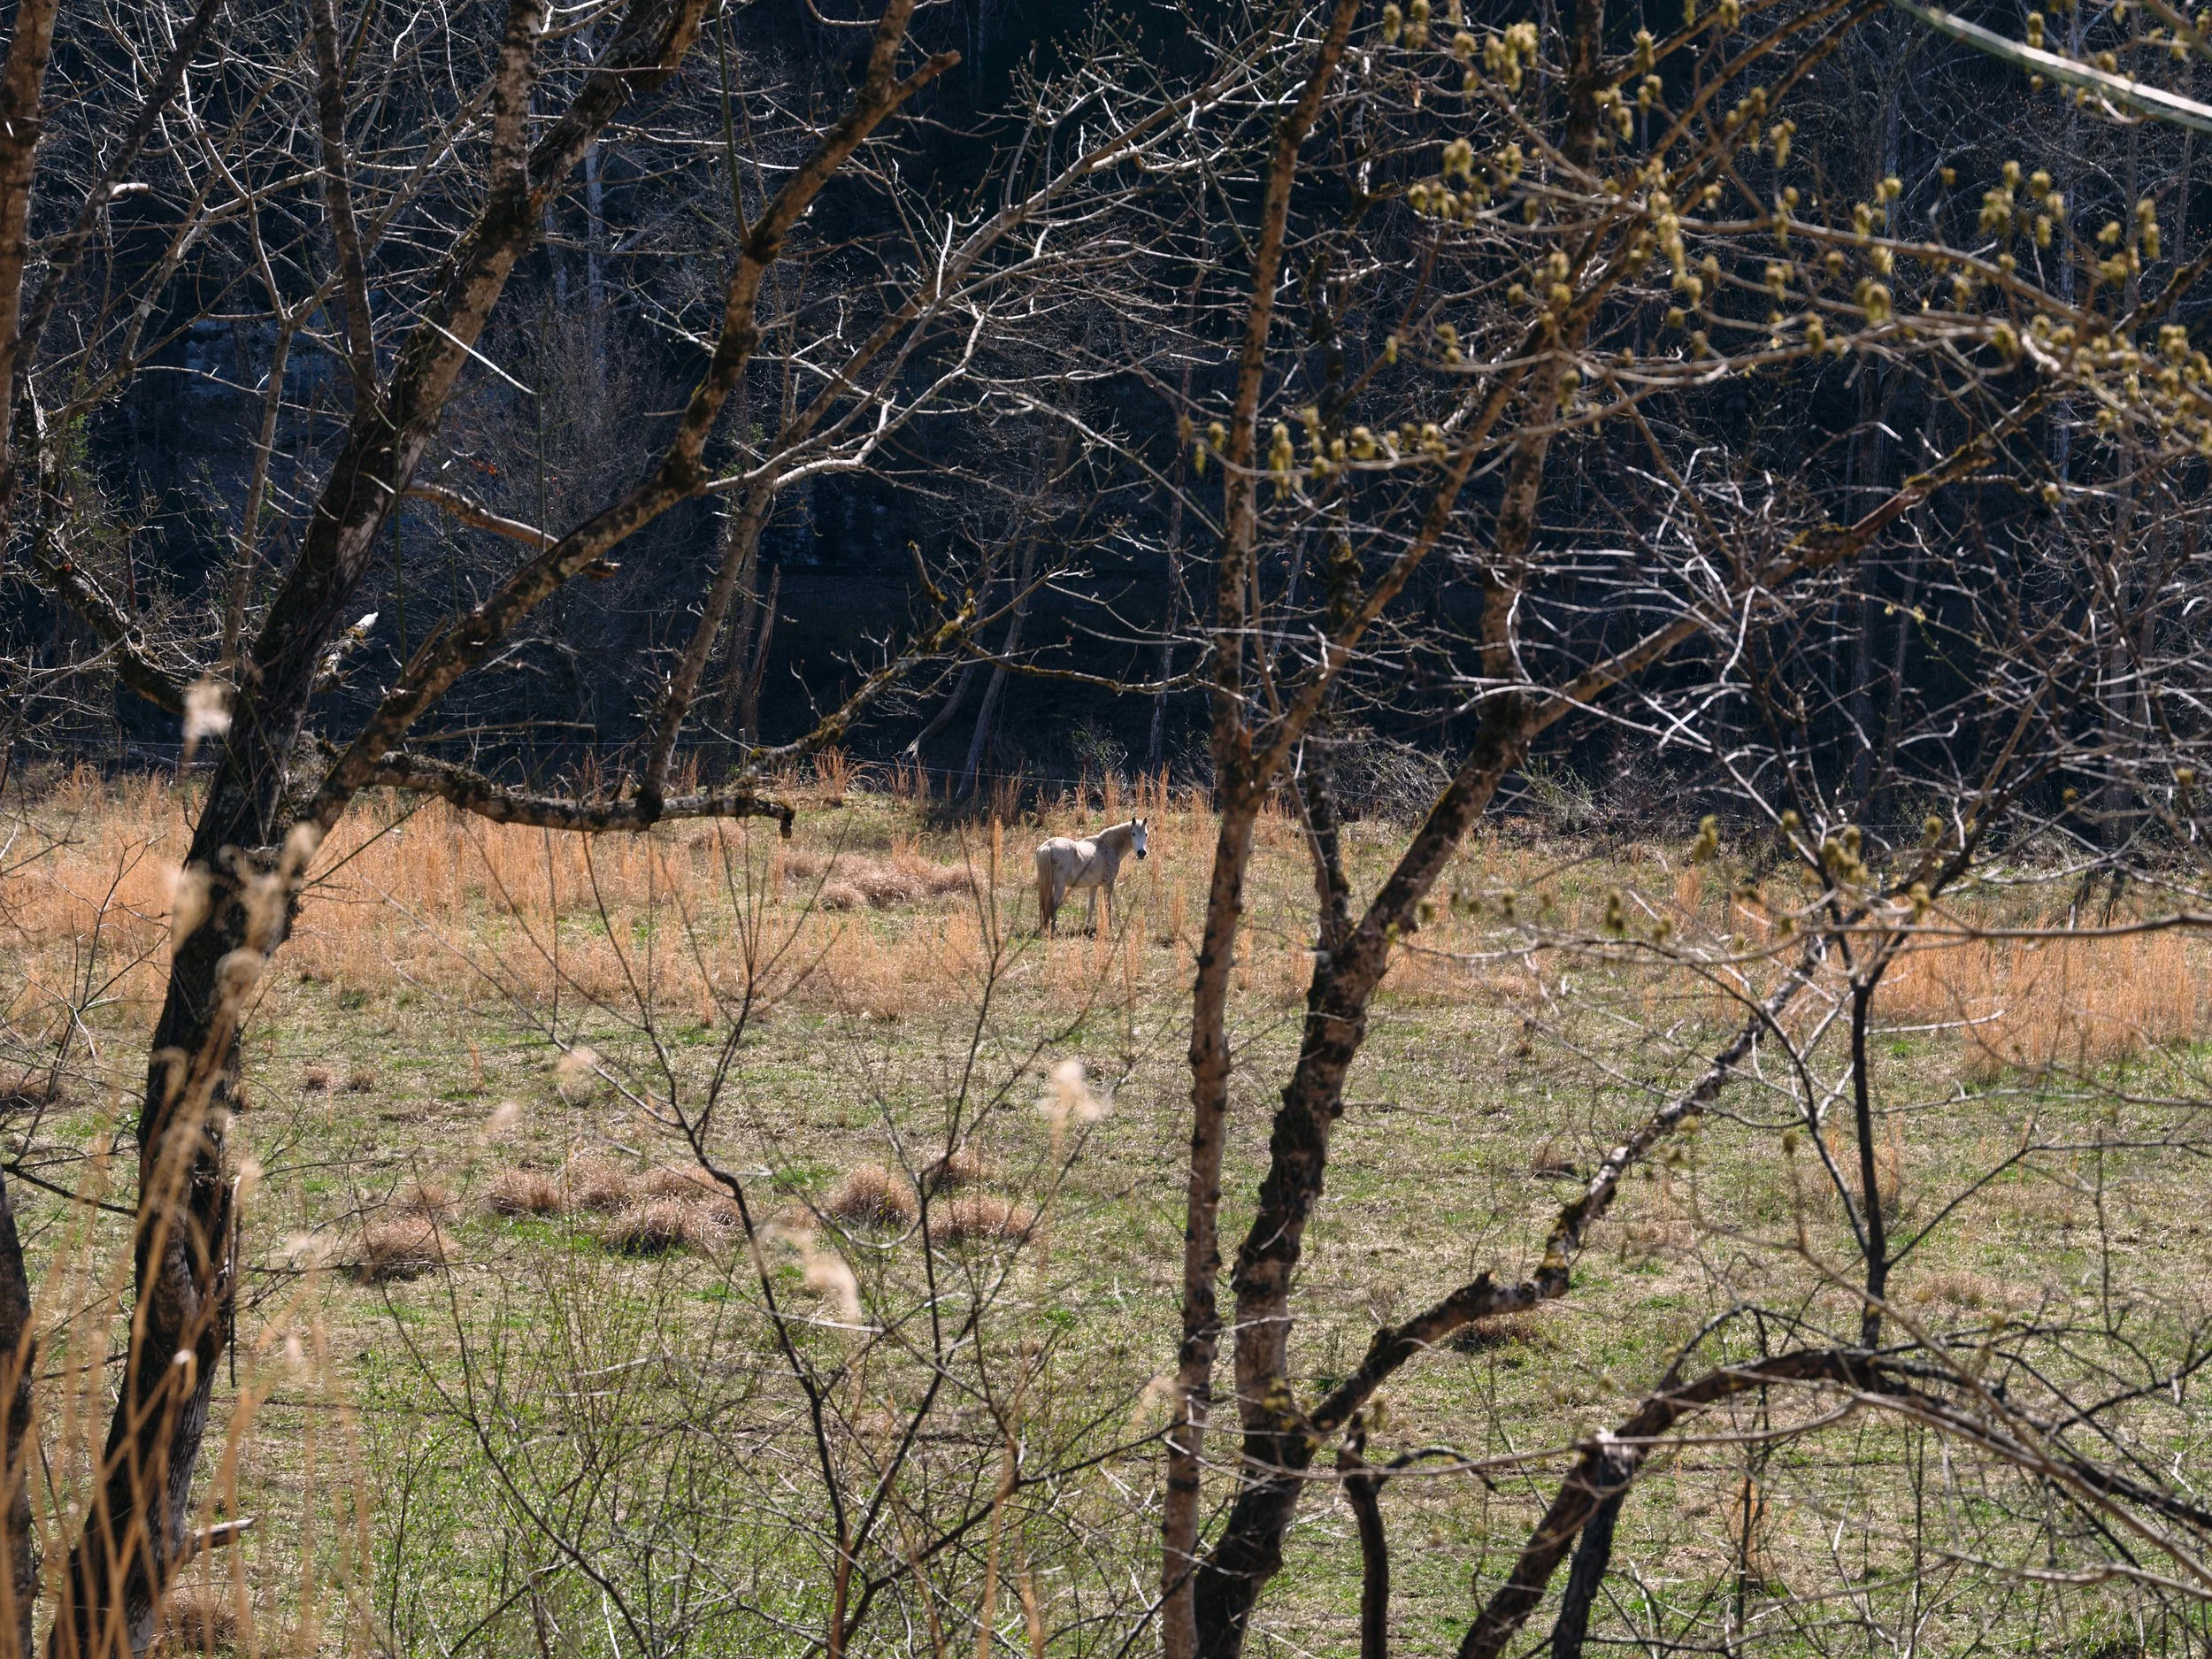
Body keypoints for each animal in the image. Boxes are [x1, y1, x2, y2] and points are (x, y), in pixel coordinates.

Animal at [1034, 818, 1148, 936]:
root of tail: (1048, 847)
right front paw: (1110, 927)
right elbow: (1108, 906)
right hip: (1060, 886)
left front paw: (1086, 928)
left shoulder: (1094, 886)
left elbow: (1091, 907)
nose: (1141, 853)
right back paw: (1054, 930)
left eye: (1146, 834)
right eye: (1133, 833)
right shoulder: (1109, 884)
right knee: (1054, 904)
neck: (1108, 847)